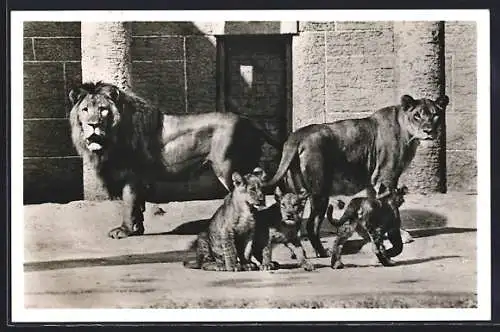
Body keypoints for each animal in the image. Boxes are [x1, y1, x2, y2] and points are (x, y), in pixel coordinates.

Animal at [70, 81, 282, 240]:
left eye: (103, 110)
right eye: (85, 110)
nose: (93, 125)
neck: (112, 137)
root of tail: (251, 121)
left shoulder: (132, 174)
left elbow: (129, 203)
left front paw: (124, 231)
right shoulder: (140, 177)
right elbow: (138, 205)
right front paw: (138, 229)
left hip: (228, 169)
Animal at [266, 93, 450, 256]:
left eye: (435, 115)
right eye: (417, 115)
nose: (428, 131)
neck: (407, 131)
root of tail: (295, 137)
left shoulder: (373, 181)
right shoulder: (387, 177)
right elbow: (391, 207)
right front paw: (400, 235)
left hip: (296, 194)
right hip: (320, 192)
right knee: (311, 225)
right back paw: (323, 252)